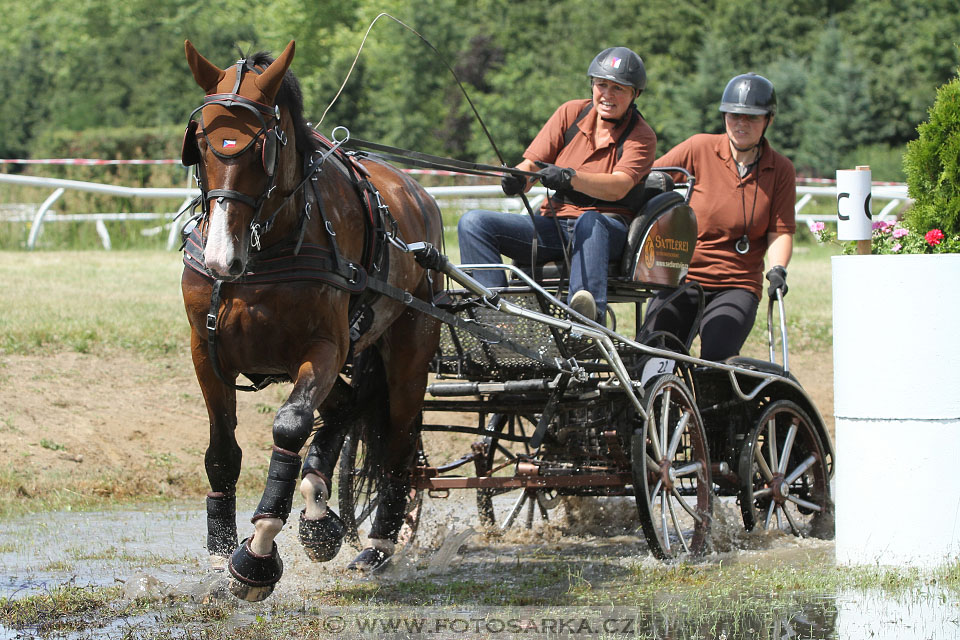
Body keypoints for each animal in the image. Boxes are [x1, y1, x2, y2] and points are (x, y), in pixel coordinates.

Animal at [180, 40, 442, 600]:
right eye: (202, 145)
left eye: (264, 148)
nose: (221, 258)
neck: (264, 252)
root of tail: (417, 193)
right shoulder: (206, 351)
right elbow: (222, 451)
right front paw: (219, 553)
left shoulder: (324, 347)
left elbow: (290, 424)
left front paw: (257, 552)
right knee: (346, 406)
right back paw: (320, 510)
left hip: (409, 350)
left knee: (397, 442)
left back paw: (377, 544)